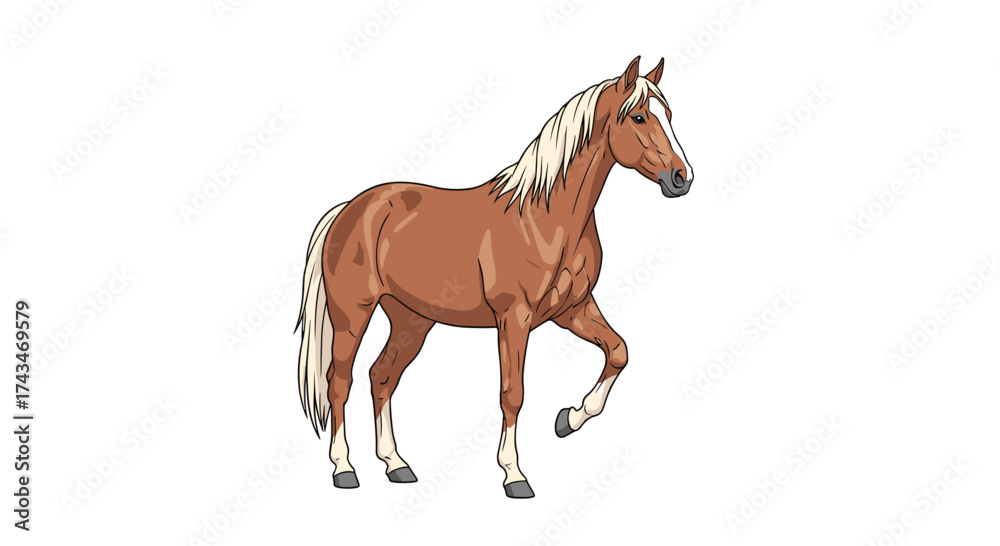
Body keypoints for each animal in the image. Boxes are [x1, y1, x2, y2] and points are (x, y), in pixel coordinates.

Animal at [296, 56, 694, 498]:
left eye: (669, 116)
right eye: (639, 116)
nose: (682, 178)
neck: (544, 217)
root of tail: (350, 208)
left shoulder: (572, 309)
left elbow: (618, 351)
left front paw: (568, 420)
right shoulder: (514, 318)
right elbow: (512, 393)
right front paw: (514, 474)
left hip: (411, 320)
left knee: (381, 377)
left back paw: (396, 465)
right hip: (353, 314)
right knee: (339, 381)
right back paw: (343, 469)